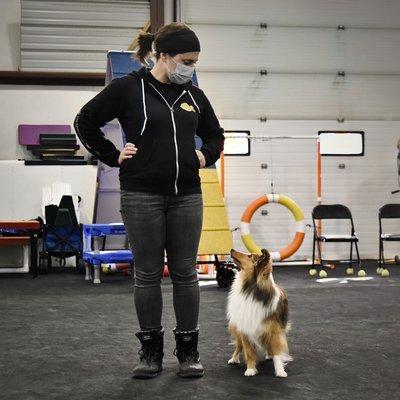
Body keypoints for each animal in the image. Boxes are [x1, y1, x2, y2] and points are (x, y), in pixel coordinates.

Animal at [227, 248, 292, 376]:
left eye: (249, 256)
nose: (232, 249)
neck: (250, 291)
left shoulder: (274, 330)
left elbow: (277, 352)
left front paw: (280, 371)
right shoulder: (245, 328)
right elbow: (248, 351)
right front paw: (250, 369)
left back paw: (269, 355)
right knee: (238, 345)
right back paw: (234, 359)